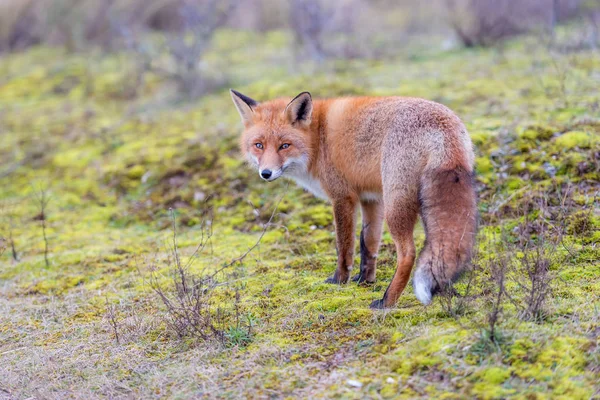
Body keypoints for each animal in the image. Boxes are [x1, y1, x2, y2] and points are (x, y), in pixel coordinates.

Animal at [230, 90, 478, 308]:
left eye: (284, 146)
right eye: (259, 145)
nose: (266, 173)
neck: (317, 139)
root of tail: (444, 123)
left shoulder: (343, 197)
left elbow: (344, 245)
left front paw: (339, 281)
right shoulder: (371, 199)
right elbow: (367, 242)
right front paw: (364, 280)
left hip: (396, 204)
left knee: (408, 253)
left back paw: (387, 301)